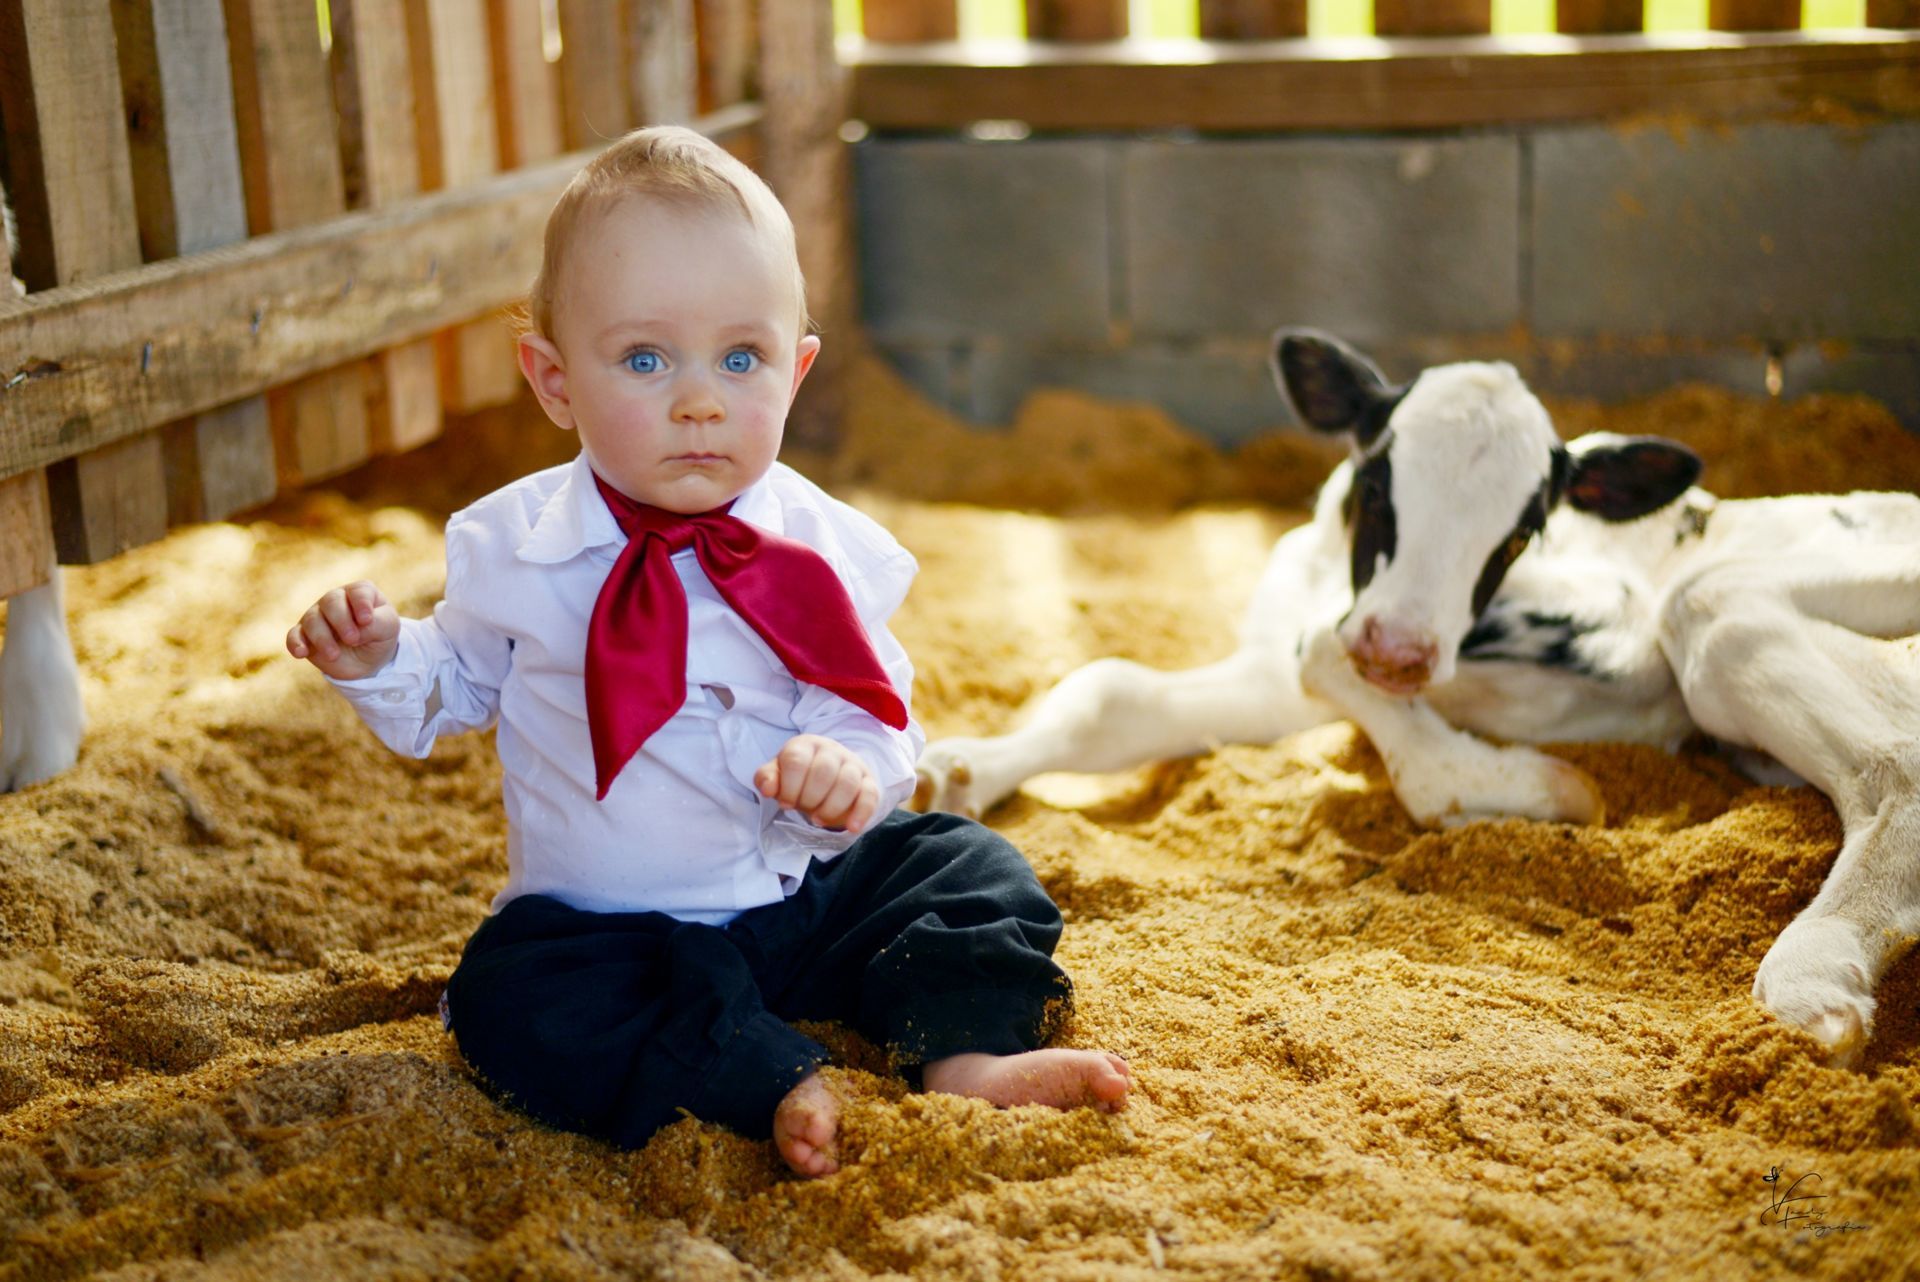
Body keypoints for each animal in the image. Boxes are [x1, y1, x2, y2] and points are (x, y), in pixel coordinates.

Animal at [917, 328, 1920, 1059]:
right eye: (1376, 484)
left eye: (1522, 530)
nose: (1400, 651)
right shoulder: (1273, 669)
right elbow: (1111, 690)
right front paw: (954, 771)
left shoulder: (1618, 638)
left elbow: (1328, 652)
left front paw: (1541, 789)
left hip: (1720, 609)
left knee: (1892, 766)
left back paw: (1815, 978)